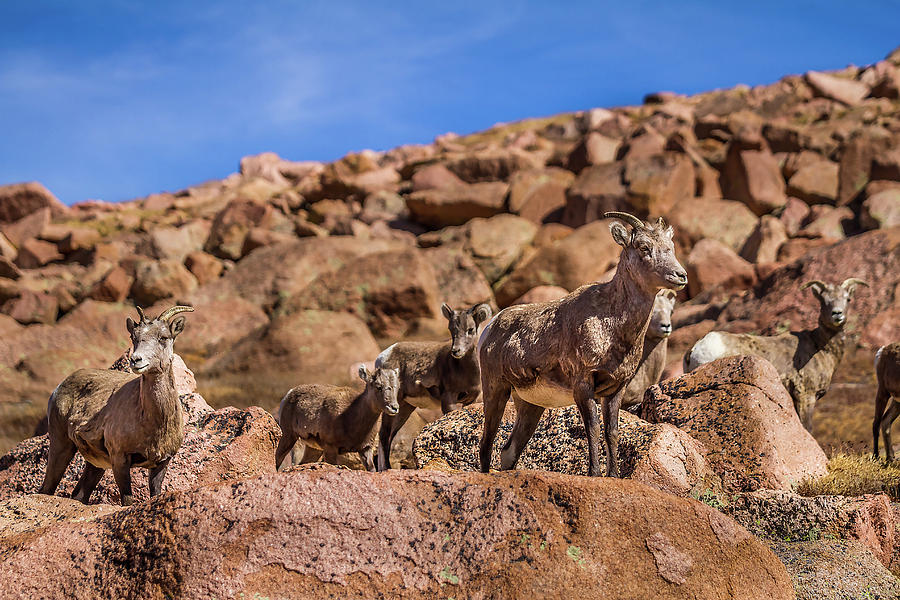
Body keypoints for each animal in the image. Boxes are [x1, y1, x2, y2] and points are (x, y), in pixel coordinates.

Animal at [39, 304, 194, 506]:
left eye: (163, 337)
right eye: (133, 337)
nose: (136, 360)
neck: (153, 422)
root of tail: (59, 387)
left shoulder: (161, 464)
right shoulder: (120, 459)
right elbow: (127, 501)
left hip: (95, 465)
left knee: (79, 495)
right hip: (61, 444)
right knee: (46, 489)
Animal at [374, 302, 492, 472]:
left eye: (470, 329)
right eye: (451, 329)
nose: (456, 351)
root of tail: (383, 356)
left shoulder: (470, 401)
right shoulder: (449, 399)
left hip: (404, 407)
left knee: (389, 435)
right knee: (384, 435)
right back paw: (386, 469)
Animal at [478, 213, 688, 476]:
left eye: (670, 247)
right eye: (643, 247)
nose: (680, 276)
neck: (612, 326)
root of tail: (489, 327)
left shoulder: (615, 389)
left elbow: (612, 432)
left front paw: (614, 475)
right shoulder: (583, 385)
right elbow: (594, 429)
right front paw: (594, 473)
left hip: (530, 405)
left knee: (508, 452)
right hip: (496, 389)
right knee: (486, 446)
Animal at [684, 278, 868, 428]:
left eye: (848, 299)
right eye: (824, 300)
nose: (837, 314)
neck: (820, 347)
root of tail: (696, 348)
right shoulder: (806, 397)